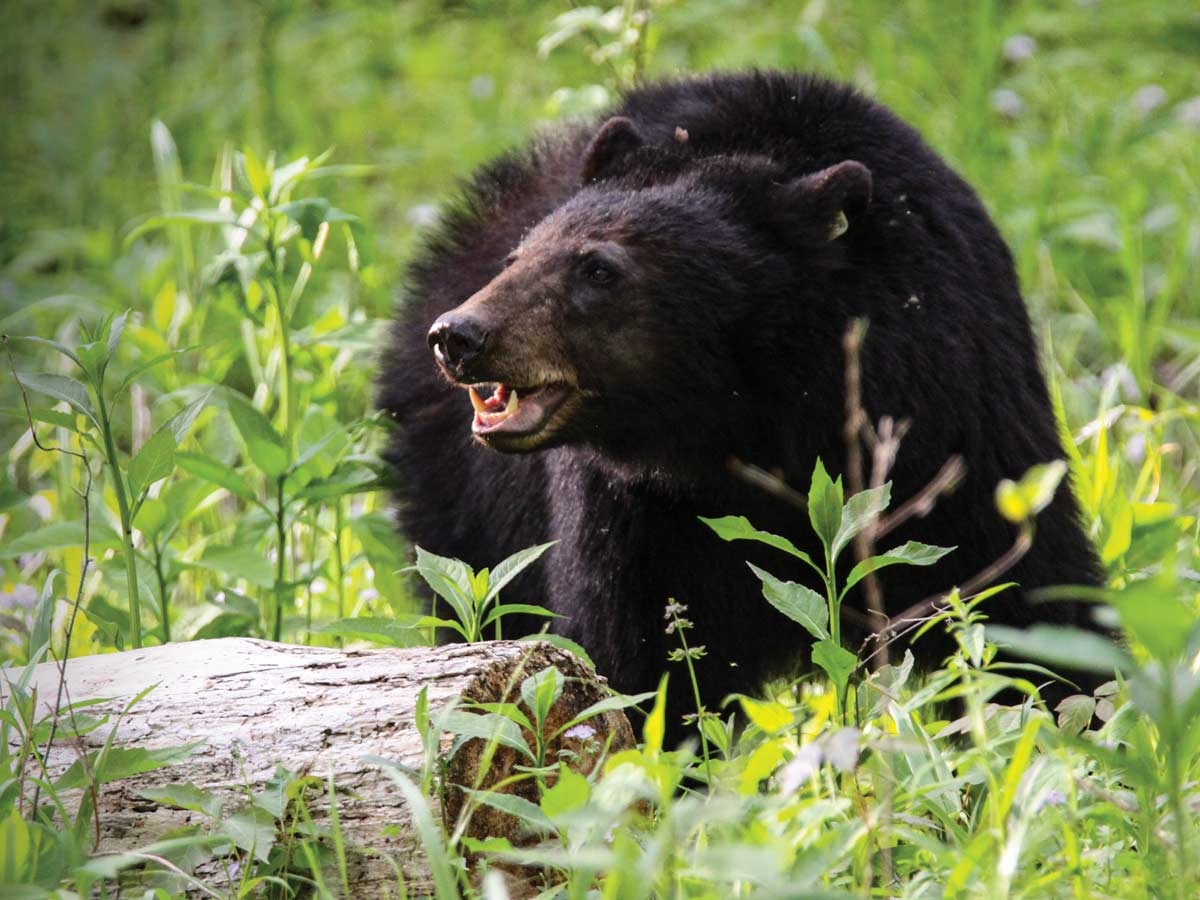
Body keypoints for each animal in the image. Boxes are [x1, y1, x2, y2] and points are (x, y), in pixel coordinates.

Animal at [379, 74, 1099, 729]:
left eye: (598, 268)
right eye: (519, 256)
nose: (460, 336)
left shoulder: (951, 419)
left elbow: (1024, 596)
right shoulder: (634, 510)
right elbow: (638, 654)